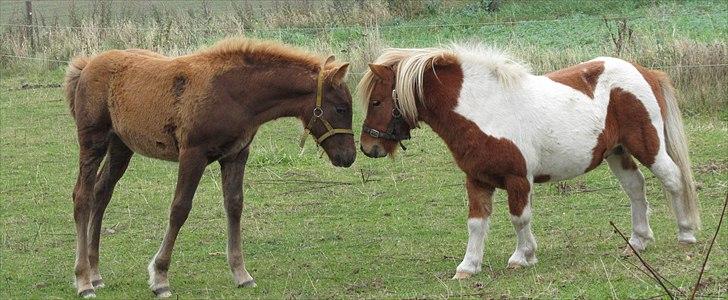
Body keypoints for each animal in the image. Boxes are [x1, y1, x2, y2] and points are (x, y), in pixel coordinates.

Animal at [65, 38, 356, 298]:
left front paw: (241, 274)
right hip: (93, 141)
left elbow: (235, 206)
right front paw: (160, 277)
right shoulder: (193, 155)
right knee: (82, 196)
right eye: (341, 108)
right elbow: (179, 209)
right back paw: (83, 281)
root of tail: (88, 64)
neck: (233, 93)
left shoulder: (236, 155)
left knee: (101, 192)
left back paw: (95, 273)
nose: (349, 156)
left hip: (121, 146)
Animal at [358, 44, 700, 278]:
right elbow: (476, 222)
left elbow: (519, 218)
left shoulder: (518, 179)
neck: (483, 107)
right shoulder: (477, 179)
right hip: (617, 152)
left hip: (647, 145)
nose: (368, 147)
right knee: (636, 188)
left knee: (672, 179)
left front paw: (522, 257)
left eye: (376, 101)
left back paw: (686, 235)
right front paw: (468, 267)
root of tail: (645, 72)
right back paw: (638, 242)